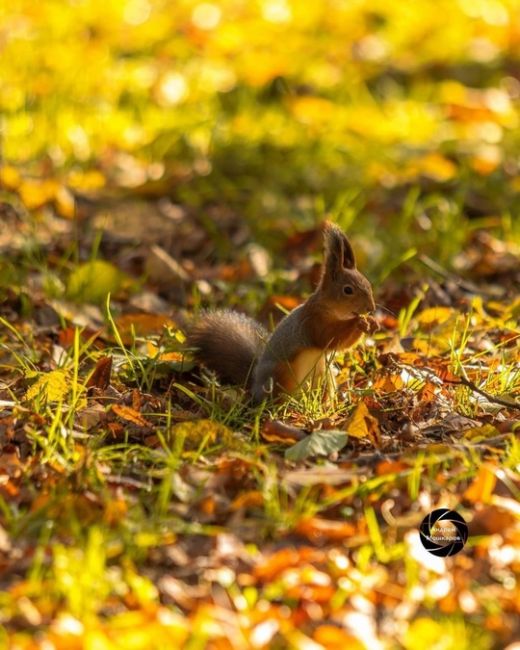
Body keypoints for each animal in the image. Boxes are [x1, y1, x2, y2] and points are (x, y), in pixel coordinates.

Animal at [187, 224, 374, 404]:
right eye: (348, 290)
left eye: (368, 283)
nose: (370, 308)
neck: (333, 312)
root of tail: (254, 383)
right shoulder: (311, 321)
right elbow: (327, 337)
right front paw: (358, 322)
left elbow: (343, 345)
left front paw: (370, 322)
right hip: (281, 374)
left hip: (324, 375)